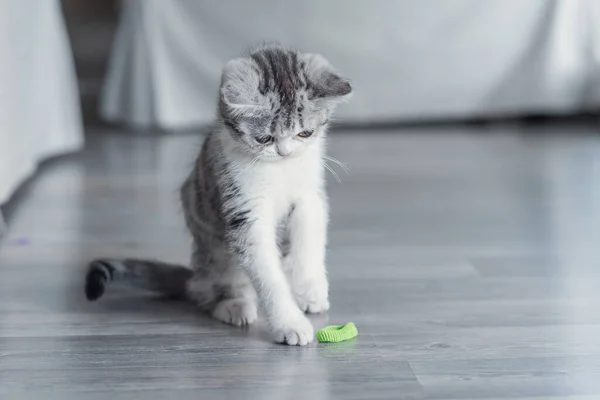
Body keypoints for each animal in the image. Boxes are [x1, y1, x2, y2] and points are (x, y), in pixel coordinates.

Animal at [82, 45, 350, 346]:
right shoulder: (243, 206)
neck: (279, 170)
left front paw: (311, 287)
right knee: (208, 291)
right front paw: (289, 324)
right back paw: (234, 306)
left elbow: (310, 238)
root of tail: (194, 276)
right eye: (264, 139)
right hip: (217, 252)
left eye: (305, 133)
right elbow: (268, 275)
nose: (285, 152)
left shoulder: (309, 194)